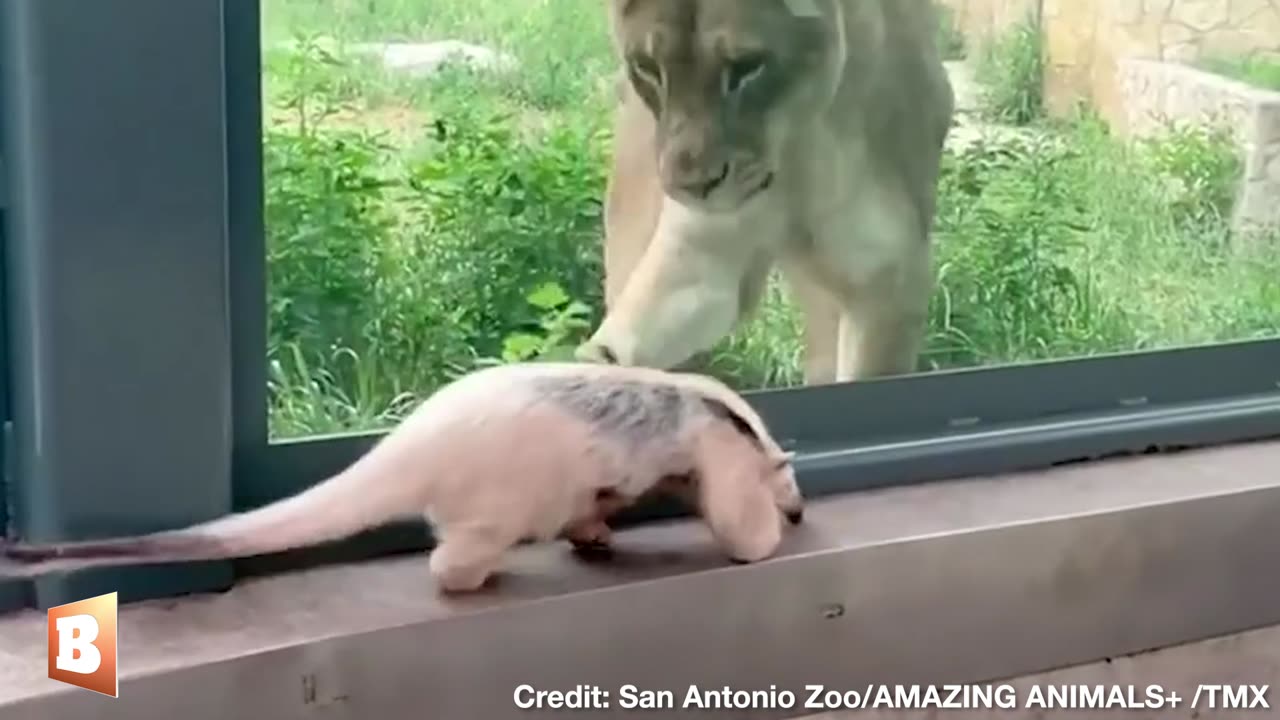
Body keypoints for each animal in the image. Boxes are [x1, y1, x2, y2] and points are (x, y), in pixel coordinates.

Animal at [576, 0, 957, 384]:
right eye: (648, 67)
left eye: (747, 67)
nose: (692, 186)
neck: (797, 150)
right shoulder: (702, 251)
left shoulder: (889, 279)